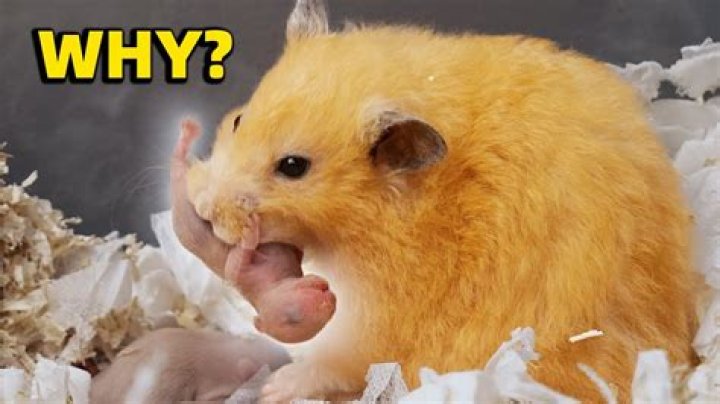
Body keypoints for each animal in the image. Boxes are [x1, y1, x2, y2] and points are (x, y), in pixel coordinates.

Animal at [173, 121, 336, 343]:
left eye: (323, 325)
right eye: (293, 320)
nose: (330, 298)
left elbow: (295, 250)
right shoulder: (245, 277)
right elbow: (235, 263)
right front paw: (251, 231)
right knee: (176, 164)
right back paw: (186, 137)